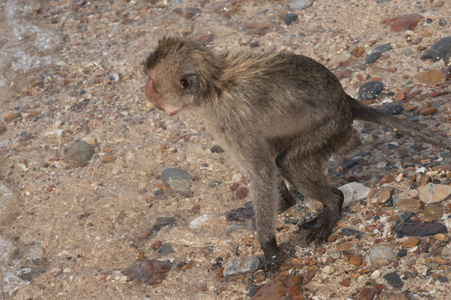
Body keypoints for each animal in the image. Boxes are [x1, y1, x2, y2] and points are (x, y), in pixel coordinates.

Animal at [144, 37, 451, 270]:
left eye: (154, 83)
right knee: (277, 152)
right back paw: (293, 202)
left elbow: (262, 171)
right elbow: (264, 168)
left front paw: (270, 249)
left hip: (334, 125)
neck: (214, 84)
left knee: (288, 161)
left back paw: (333, 204)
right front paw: (282, 206)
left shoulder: (225, 116)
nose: (145, 90)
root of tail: (344, 99)